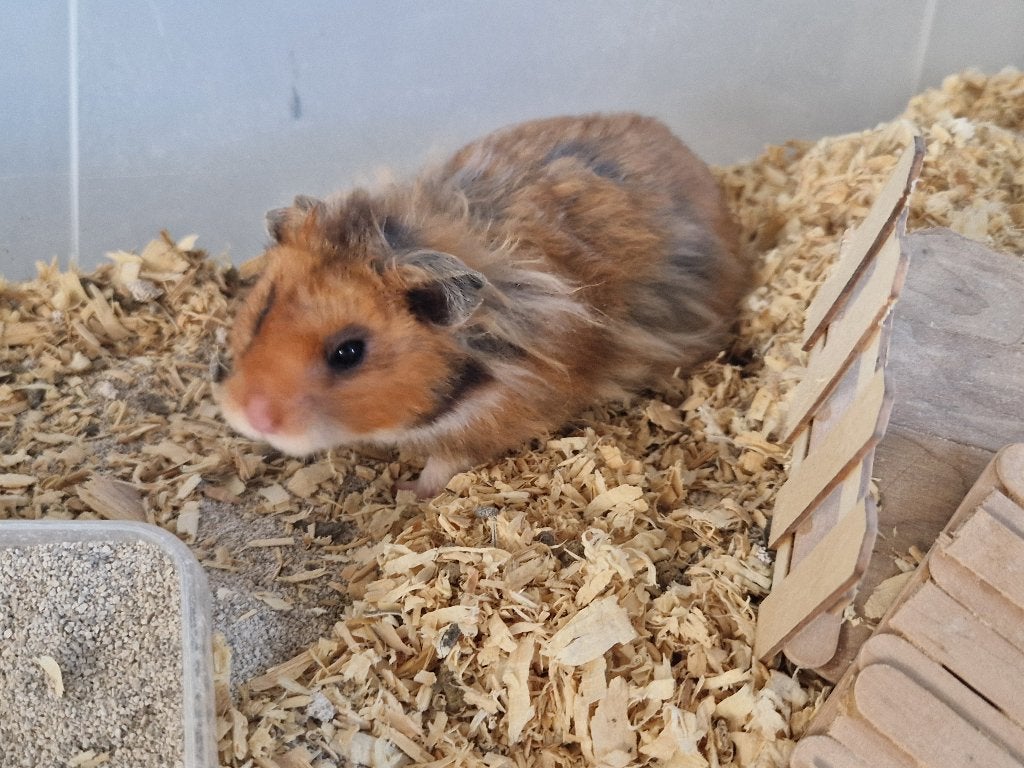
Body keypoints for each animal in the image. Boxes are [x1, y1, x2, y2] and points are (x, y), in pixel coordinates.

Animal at [217, 114, 749, 497]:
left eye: (349, 353)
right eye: (262, 311)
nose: (249, 417)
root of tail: (689, 154)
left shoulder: (494, 422)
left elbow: (442, 466)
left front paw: (409, 495)